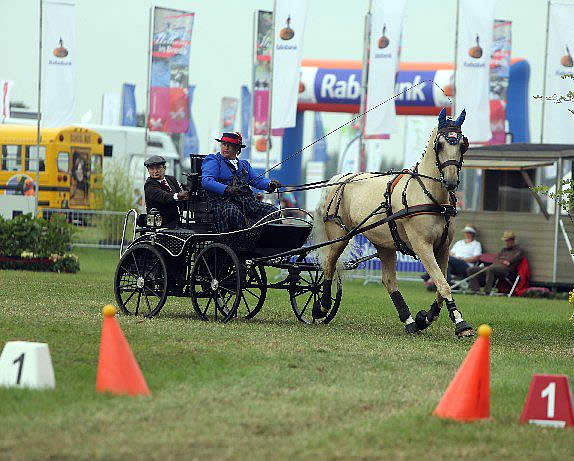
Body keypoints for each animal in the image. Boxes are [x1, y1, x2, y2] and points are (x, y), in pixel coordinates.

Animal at [312, 109, 474, 336]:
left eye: (461, 144)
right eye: (440, 144)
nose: (451, 182)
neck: (431, 197)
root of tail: (344, 177)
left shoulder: (443, 248)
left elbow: (441, 286)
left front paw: (425, 318)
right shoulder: (422, 246)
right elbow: (443, 284)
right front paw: (461, 323)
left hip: (384, 244)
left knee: (389, 280)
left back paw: (409, 321)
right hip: (339, 236)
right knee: (329, 265)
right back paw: (323, 306)